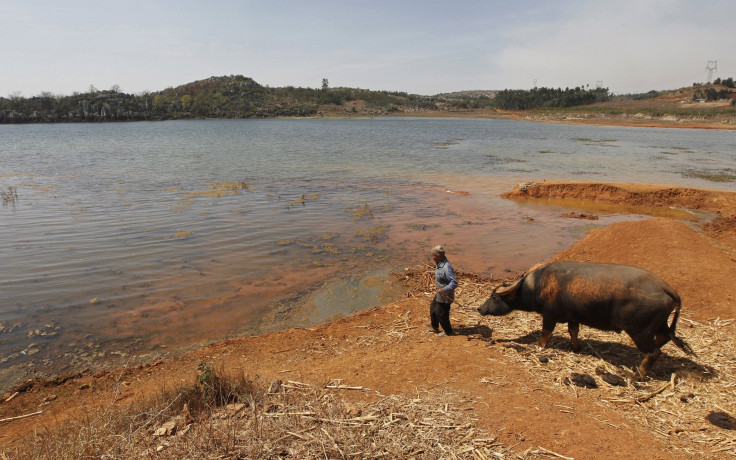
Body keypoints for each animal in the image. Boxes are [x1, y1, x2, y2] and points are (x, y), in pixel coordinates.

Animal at [480, 260, 692, 380]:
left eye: (494, 297)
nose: (480, 308)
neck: (538, 286)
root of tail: (667, 288)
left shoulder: (550, 315)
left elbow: (546, 332)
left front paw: (538, 345)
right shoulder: (573, 317)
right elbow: (573, 331)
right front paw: (576, 348)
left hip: (640, 331)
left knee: (654, 352)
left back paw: (637, 373)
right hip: (660, 325)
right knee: (664, 339)